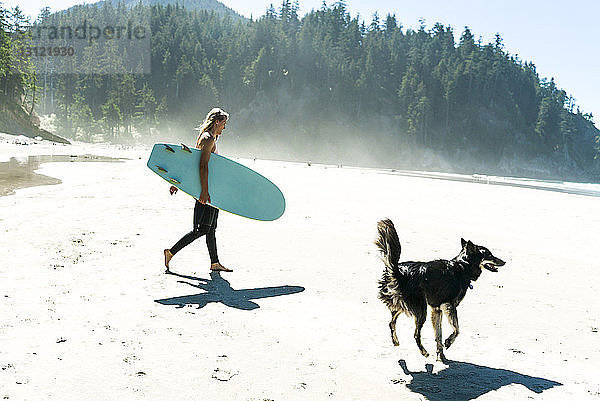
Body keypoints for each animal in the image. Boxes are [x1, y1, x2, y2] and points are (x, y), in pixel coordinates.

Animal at [378, 219, 504, 362]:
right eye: (490, 255)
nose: (504, 262)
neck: (462, 267)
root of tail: (397, 272)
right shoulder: (449, 305)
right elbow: (457, 329)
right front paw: (448, 342)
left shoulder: (436, 309)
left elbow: (438, 335)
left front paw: (440, 354)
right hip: (421, 309)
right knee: (415, 334)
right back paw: (423, 351)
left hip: (402, 305)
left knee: (391, 323)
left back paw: (395, 341)